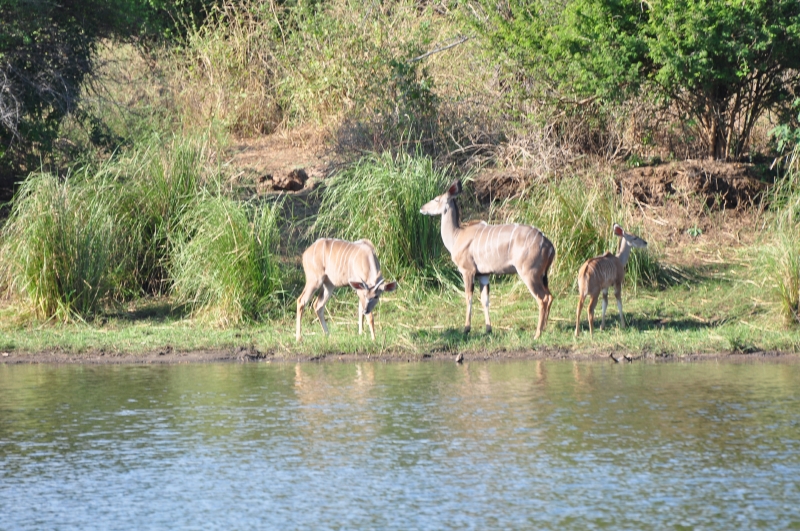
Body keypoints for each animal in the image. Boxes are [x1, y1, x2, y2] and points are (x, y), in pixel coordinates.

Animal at [420, 179, 555, 339]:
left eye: (436, 199)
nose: (422, 208)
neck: (457, 235)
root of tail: (549, 245)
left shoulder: (467, 271)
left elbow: (468, 297)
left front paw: (466, 329)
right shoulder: (483, 274)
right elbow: (485, 300)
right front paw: (488, 329)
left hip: (529, 273)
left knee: (542, 298)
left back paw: (537, 334)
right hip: (542, 275)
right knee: (550, 296)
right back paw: (544, 329)